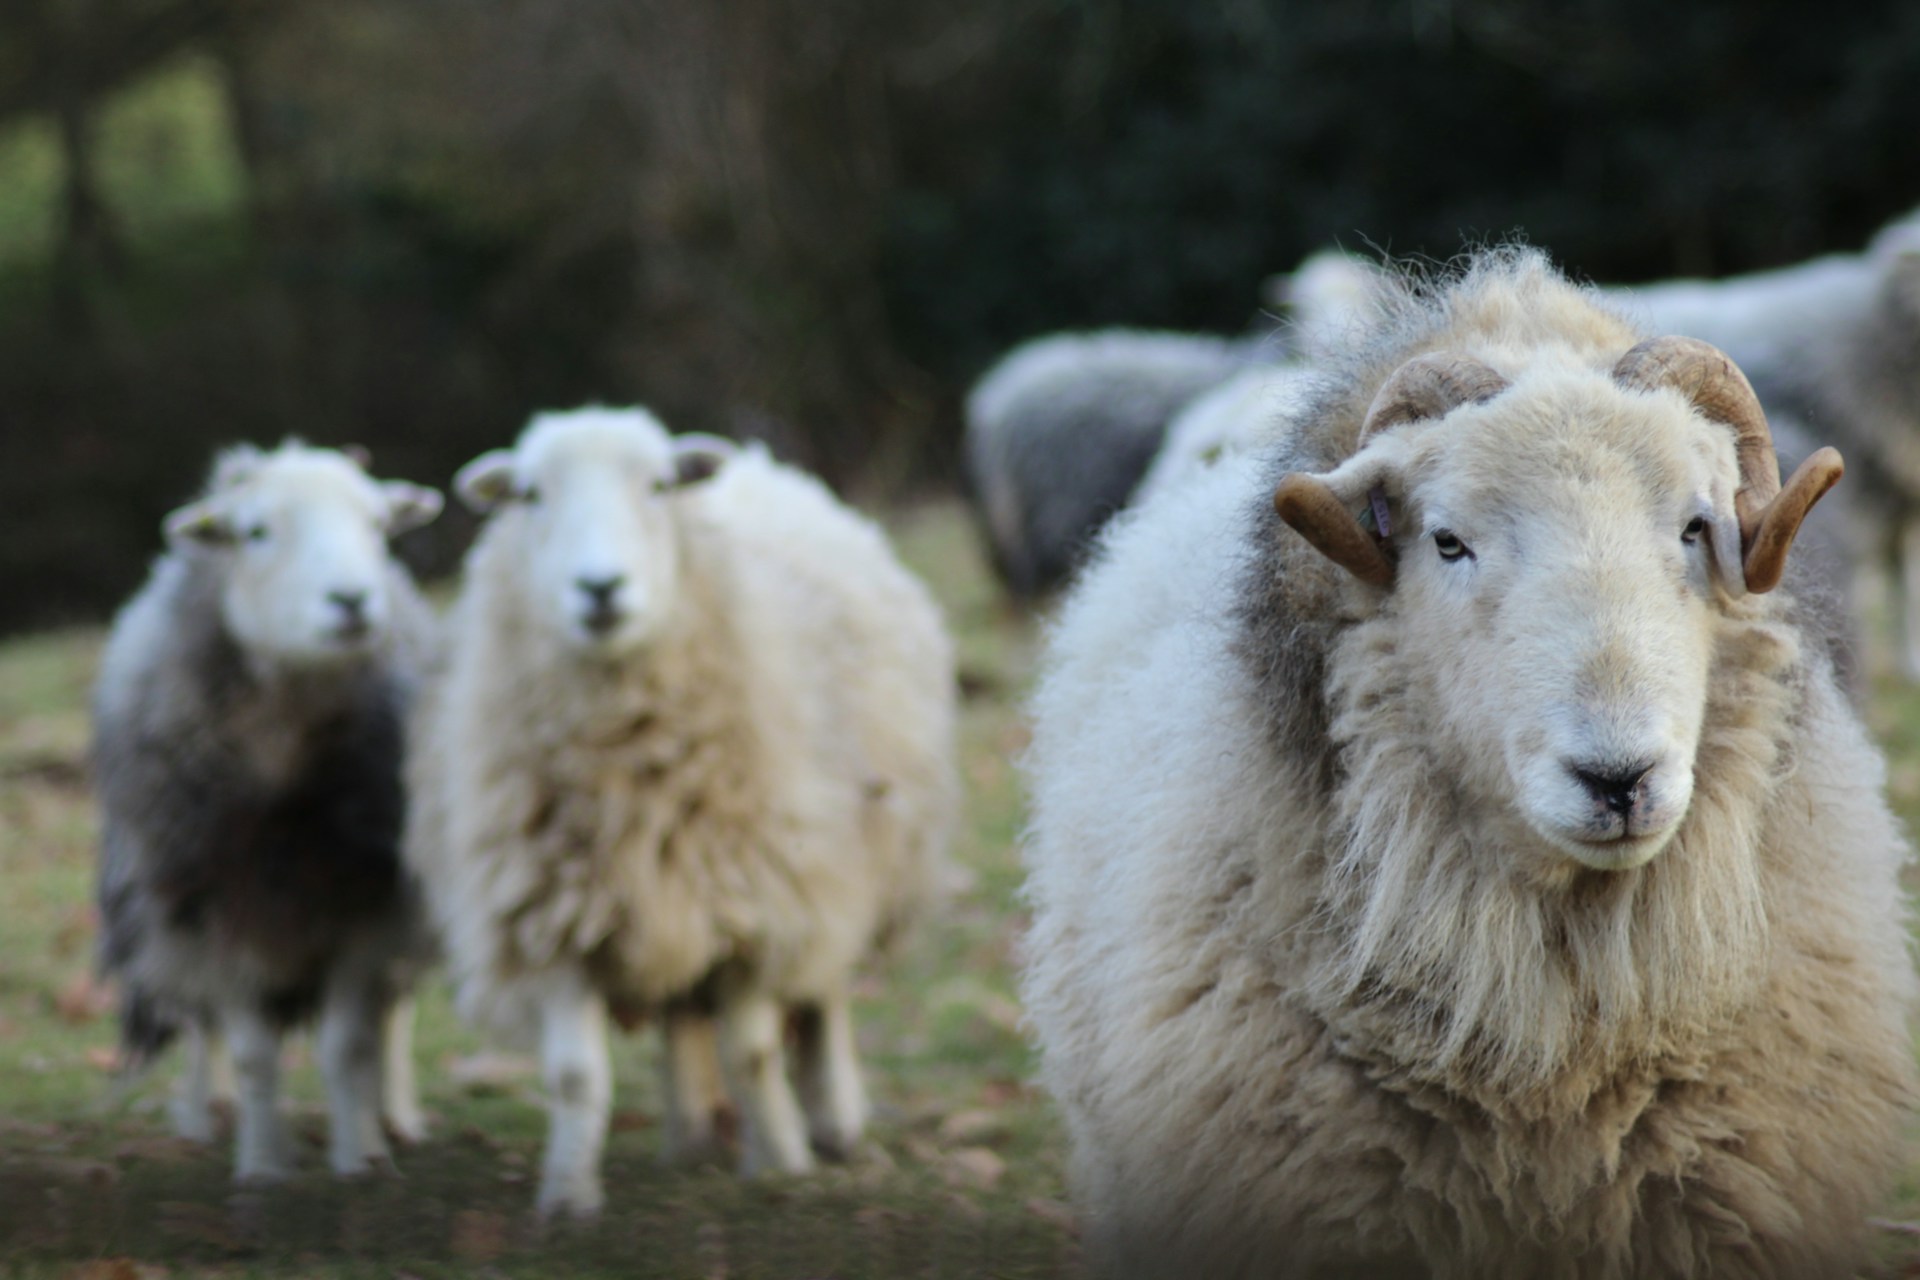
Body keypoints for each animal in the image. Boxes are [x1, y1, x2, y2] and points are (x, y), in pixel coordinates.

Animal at [92, 441, 443, 1182]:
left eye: (378, 525)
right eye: (255, 532)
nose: (352, 600)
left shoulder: (365, 907)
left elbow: (347, 1045)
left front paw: (356, 1158)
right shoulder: (212, 906)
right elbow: (253, 1053)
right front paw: (261, 1168)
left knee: (392, 1016)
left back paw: (392, 1120)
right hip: (167, 915)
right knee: (201, 1024)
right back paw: (207, 1115)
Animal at [406, 406, 957, 1217]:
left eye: (660, 485)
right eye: (531, 495)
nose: (600, 587)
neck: (623, 765)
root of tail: (759, 463)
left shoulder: (763, 899)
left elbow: (753, 1052)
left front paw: (782, 1163)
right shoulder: (550, 919)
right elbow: (575, 1075)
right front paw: (567, 1197)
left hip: (850, 860)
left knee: (822, 996)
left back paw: (833, 1123)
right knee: (682, 1013)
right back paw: (694, 1134)